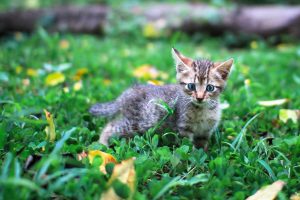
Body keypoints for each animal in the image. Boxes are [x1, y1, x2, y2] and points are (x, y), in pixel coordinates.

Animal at [89, 47, 234, 149]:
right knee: (110, 126)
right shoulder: (183, 128)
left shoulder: (205, 132)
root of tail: (127, 92)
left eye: (209, 88)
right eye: (191, 86)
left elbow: (202, 148)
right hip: (134, 122)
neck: (203, 109)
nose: (199, 98)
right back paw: (102, 145)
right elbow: (187, 147)